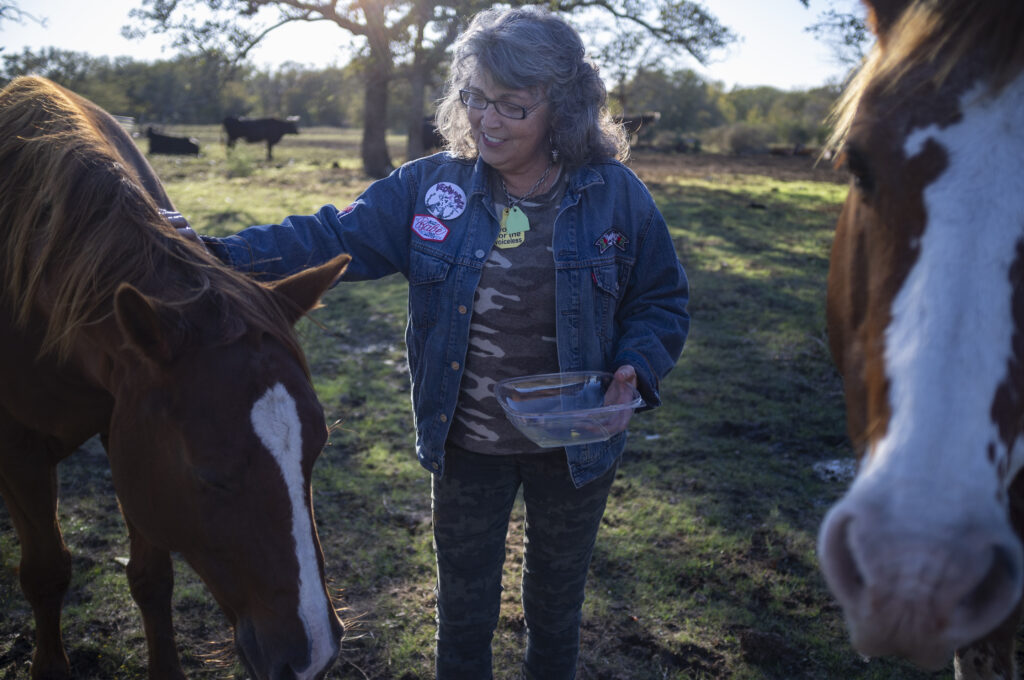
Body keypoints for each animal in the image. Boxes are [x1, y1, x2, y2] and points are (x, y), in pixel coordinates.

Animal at [0, 76, 350, 675]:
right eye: (210, 474)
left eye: (316, 452)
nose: (313, 658)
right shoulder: (21, 452)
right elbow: (45, 574)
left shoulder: (129, 433)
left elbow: (152, 580)